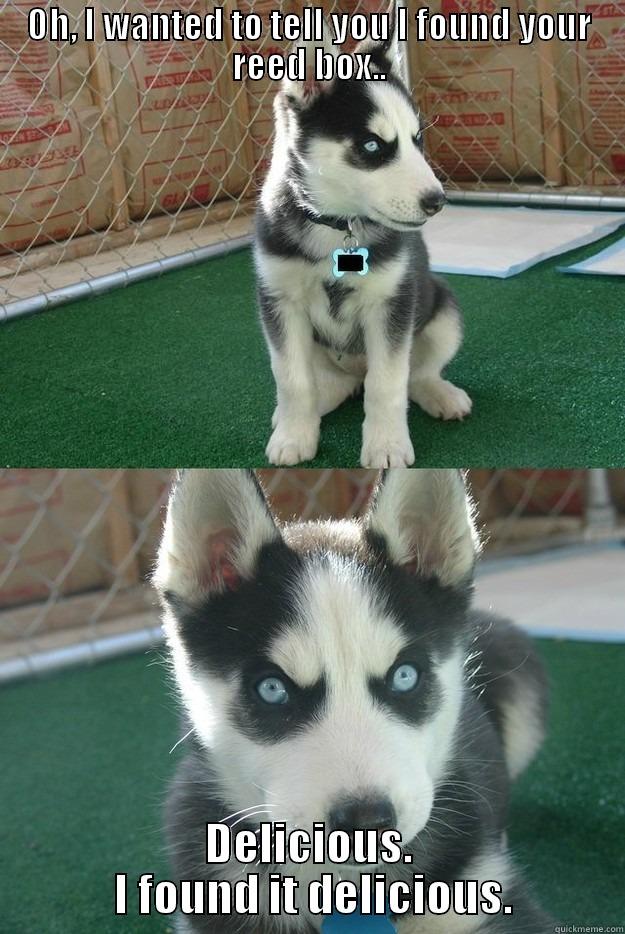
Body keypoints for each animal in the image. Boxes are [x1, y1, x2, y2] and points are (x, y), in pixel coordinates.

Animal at [251, 12, 470, 466]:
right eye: (372, 146)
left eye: (417, 140)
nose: (437, 202)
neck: (337, 225)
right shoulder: (280, 302)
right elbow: (292, 379)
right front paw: (294, 436)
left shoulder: (391, 305)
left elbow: (387, 384)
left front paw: (386, 445)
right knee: (330, 384)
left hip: (443, 310)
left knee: (413, 375)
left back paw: (439, 393)